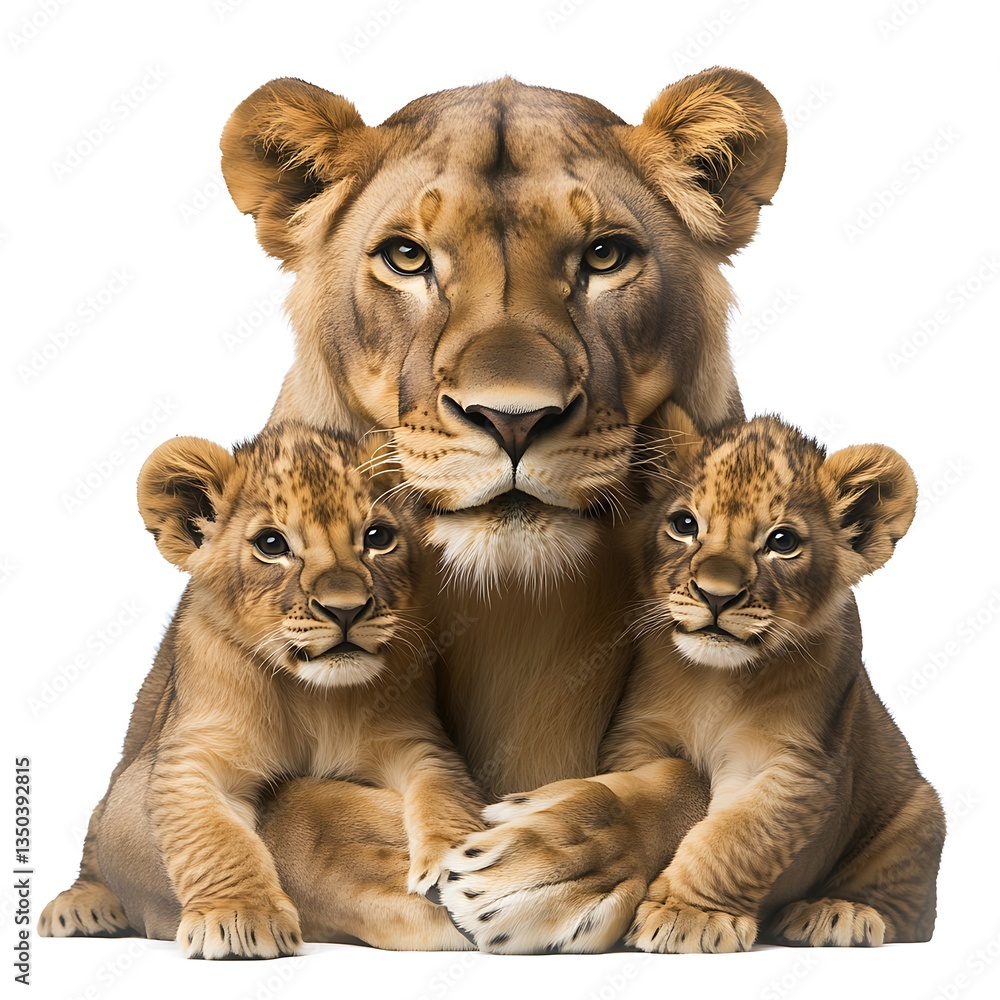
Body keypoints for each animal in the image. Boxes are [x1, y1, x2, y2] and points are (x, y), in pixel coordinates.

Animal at [40, 425, 483, 956]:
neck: (316, 697)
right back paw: (82, 907)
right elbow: (214, 838)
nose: (346, 609)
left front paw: (463, 863)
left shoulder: (414, 741)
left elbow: (444, 792)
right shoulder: (192, 758)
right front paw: (239, 918)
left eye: (378, 537)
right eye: (271, 544)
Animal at [90, 69, 788, 953]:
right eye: (406, 256)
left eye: (604, 254)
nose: (513, 417)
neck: (516, 610)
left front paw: (547, 861)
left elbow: (712, 791)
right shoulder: (134, 793)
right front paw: (427, 870)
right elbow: (288, 815)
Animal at [572, 405, 942, 952]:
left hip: (918, 813)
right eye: (684, 524)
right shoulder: (637, 735)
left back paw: (835, 914)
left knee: (912, 917)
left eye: (782, 542)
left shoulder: (793, 761)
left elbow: (736, 837)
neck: (714, 680)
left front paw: (689, 915)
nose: (716, 594)